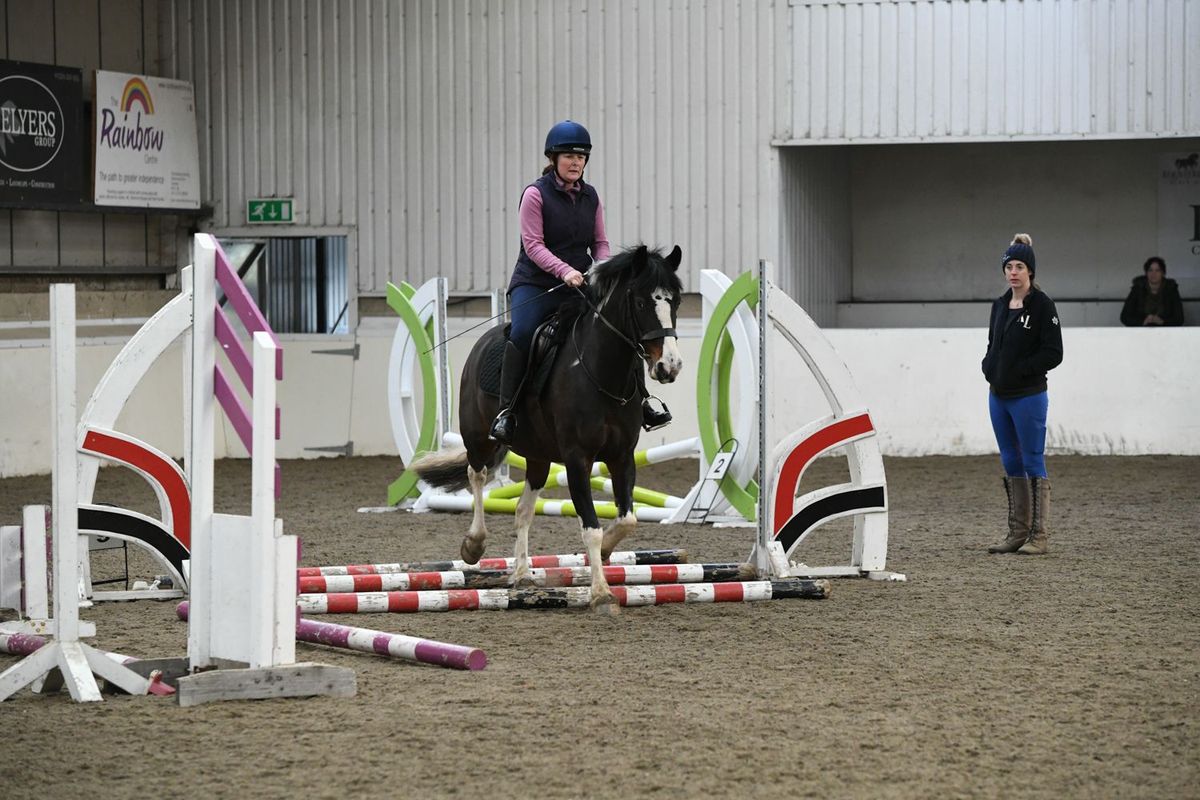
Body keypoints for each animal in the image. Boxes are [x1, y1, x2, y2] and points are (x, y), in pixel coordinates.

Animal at [408, 242, 681, 606]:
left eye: (675, 301)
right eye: (640, 302)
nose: (670, 366)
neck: (600, 370)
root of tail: (486, 340)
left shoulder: (622, 456)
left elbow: (627, 519)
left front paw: (605, 555)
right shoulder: (577, 459)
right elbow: (591, 528)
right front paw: (600, 592)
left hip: (538, 456)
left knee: (523, 510)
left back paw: (523, 573)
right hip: (478, 437)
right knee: (476, 475)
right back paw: (474, 544)